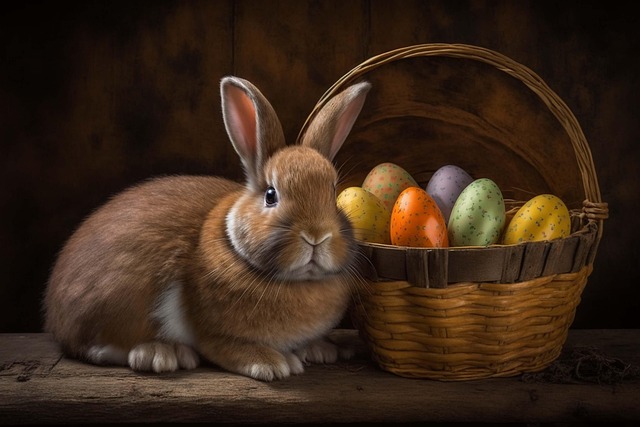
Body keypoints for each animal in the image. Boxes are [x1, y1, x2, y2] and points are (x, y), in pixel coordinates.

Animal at [43, 76, 371, 381]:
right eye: (271, 195)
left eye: (332, 192)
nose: (316, 236)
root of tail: (53, 313)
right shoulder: (212, 334)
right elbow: (227, 347)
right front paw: (272, 364)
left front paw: (322, 350)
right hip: (122, 298)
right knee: (98, 348)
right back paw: (161, 353)